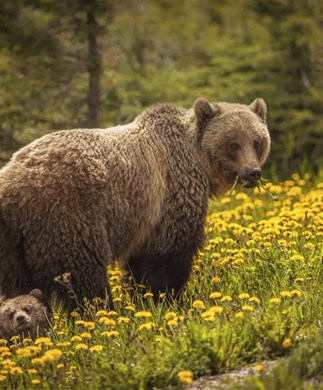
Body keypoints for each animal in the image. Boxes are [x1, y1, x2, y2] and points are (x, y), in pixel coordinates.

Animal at [0, 98, 270, 310]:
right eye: (233, 143)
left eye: (257, 141)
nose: (252, 172)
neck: (197, 161)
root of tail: (12, 181)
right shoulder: (172, 193)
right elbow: (171, 255)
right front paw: (168, 299)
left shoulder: (146, 219)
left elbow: (139, 263)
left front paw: (145, 298)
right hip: (67, 214)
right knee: (83, 273)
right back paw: (102, 313)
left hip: (15, 243)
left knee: (18, 287)